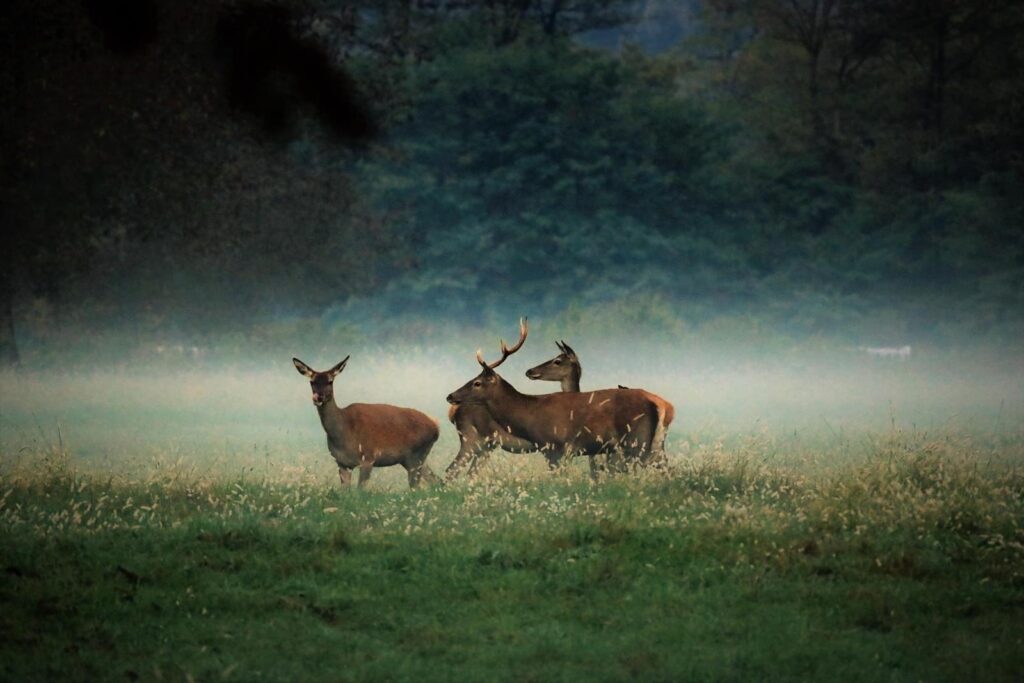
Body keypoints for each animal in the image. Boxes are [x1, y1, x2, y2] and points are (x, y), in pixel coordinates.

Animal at [292, 356, 439, 488]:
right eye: (311, 382)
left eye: (330, 381)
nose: (318, 397)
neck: (343, 432)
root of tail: (436, 426)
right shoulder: (342, 463)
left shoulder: (368, 458)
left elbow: (360, 492)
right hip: (412, 459)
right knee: (436, 481)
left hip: (416, 456)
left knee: (416, 487)